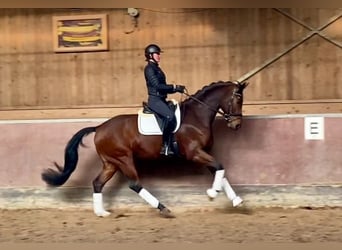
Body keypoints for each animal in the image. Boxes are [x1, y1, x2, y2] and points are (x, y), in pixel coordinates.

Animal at [41, 81, 248, 218]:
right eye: (238, 98)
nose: (236, 125)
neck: (196, 116)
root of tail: (99, 127)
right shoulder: (195, 153)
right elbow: (220, 167)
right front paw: (213, 193)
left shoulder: (203, 153)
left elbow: (220, 170)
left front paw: (236, 200)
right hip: (124, 159)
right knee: (134, 184)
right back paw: (163, 208)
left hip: (111, 163)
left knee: (98, 183)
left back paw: (101, 212)